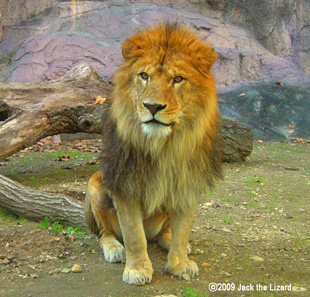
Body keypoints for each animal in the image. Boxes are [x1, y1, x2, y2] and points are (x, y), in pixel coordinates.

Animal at [83, 23, 222, 284]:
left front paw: (180, 264)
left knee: (164, 233)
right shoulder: (124, 183)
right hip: (95, 183)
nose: (153, 107)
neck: (163, 146)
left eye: (177, 79)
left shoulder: (187, 184)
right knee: (105, 233)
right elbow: (134, 235)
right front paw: (137, 269)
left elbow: (182, 231)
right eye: (144, 76)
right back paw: (115, 249)